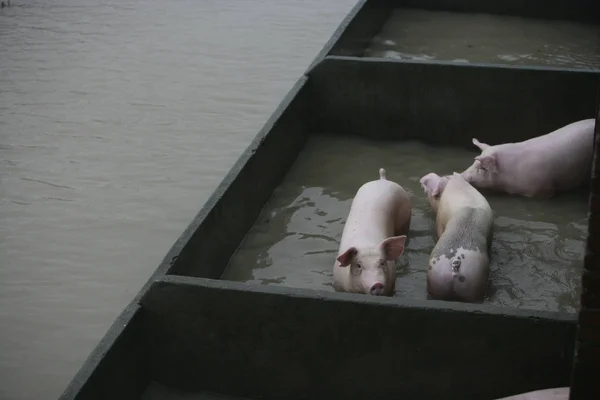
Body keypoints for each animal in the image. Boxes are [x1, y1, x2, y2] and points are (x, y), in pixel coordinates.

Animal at [332, 167, 412, 296]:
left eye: (382, 263)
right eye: (359, 265)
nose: (377, 284)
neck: (366, 244)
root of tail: (382, 179)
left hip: (406, 216)